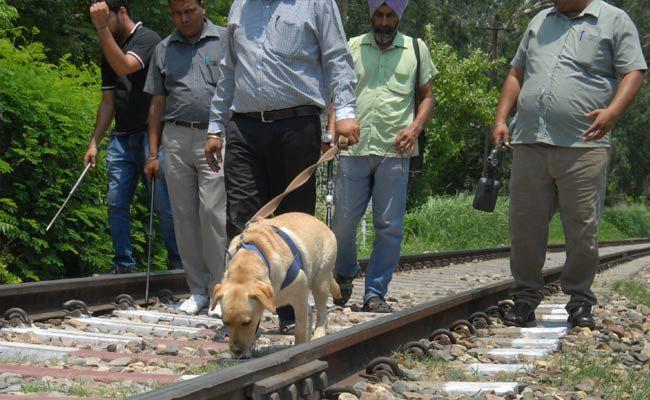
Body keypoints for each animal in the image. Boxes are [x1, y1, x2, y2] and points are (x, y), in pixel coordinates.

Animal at [210, 212, 342, 360]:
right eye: (225, 322)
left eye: (247, 322)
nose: (236, 351)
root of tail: (319, 221)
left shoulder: (300, 292)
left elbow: (300, 330)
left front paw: (299, 348)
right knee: (310, 310)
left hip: (320, 282)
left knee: (321, 313)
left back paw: (317, 336)